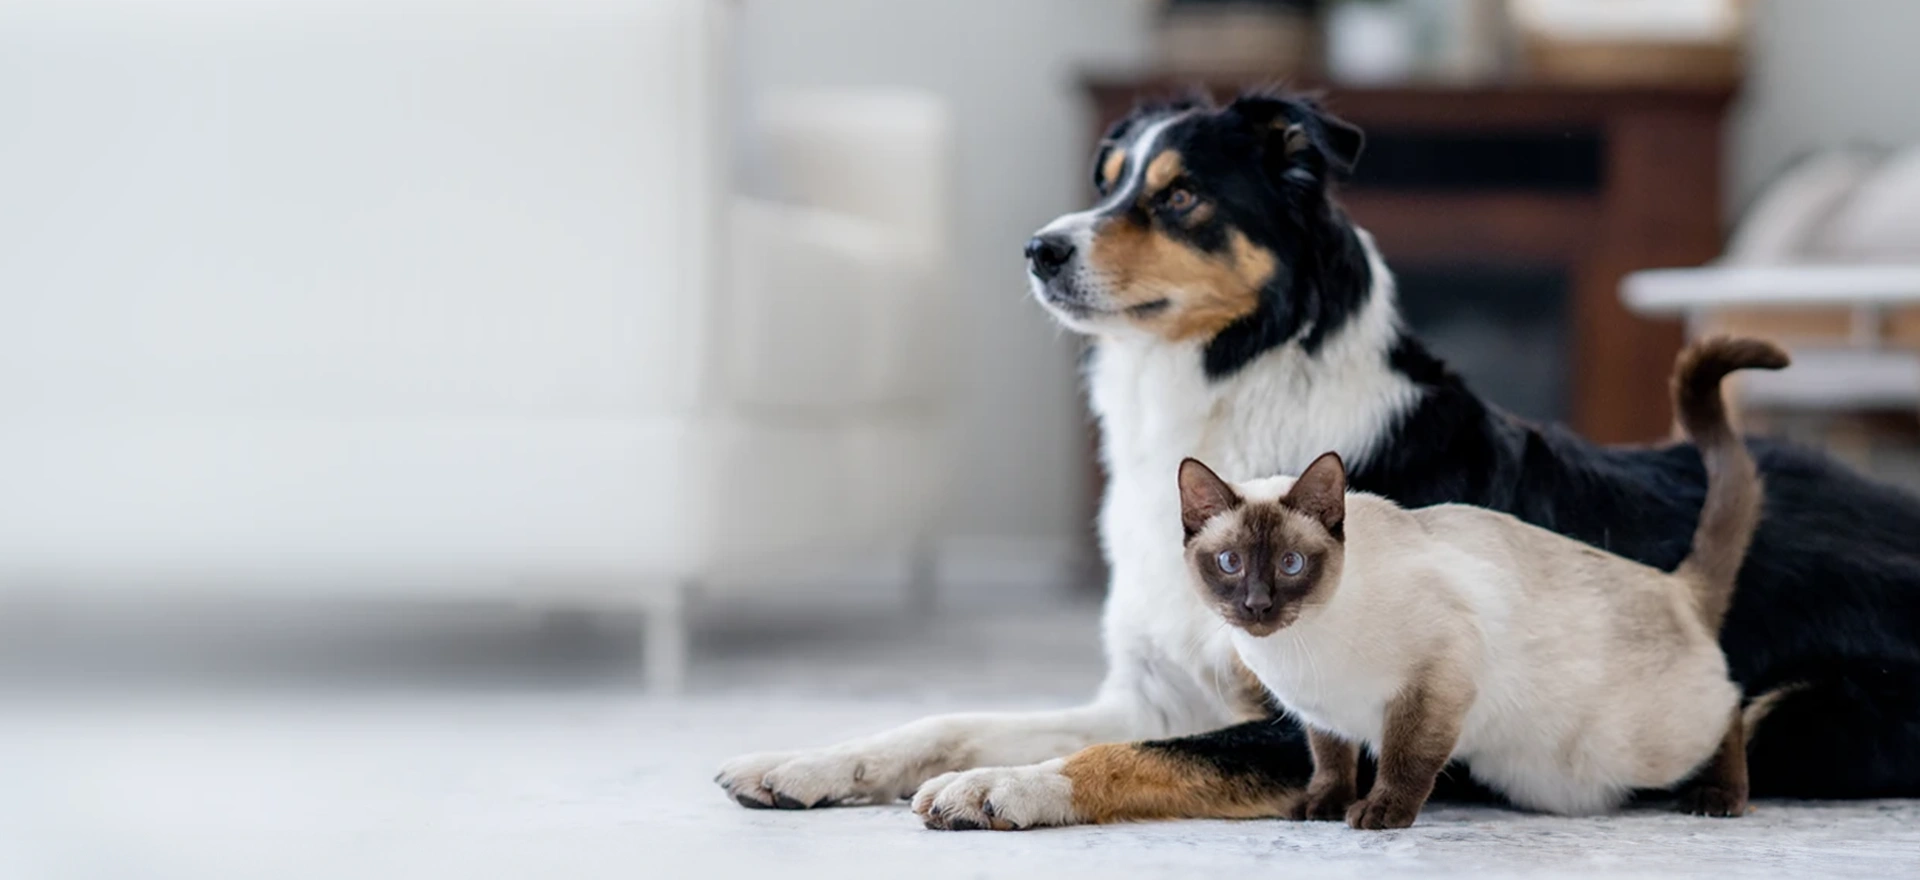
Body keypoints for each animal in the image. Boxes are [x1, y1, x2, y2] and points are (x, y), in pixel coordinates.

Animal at [1175, 334, 1789, 826]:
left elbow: (1406, 761)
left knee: (1732, 708)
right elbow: (1330, 764)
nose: (1258, 606)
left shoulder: (1435, 681)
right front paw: (1322, 807)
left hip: (1650, 745)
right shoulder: (1324, 717)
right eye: (1230, 563)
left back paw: (1719, 798)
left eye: (1290, 565)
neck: (1299, 649)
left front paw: (1379, 815)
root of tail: (1673, 585)